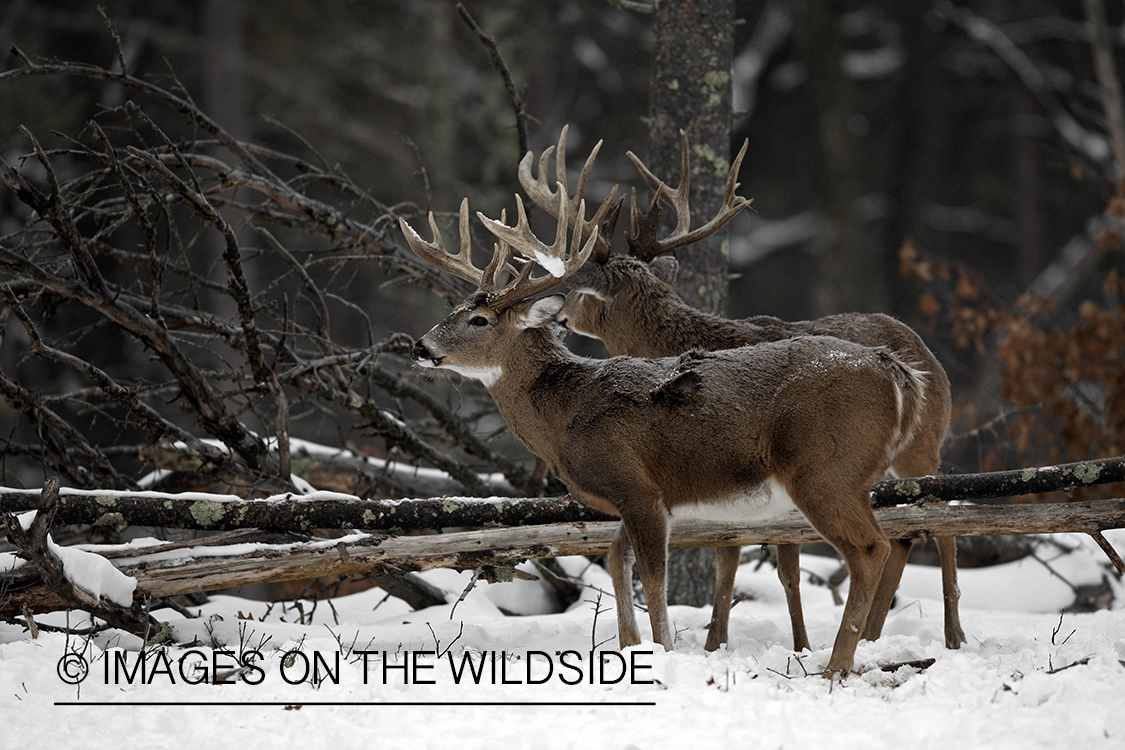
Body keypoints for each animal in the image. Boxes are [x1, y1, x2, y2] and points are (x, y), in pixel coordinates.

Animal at [405, 184, 931, 679]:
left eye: (479, 319)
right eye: (455, 308)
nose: (420, 346)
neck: (566, 413)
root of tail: (894, 369)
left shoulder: (636, 486)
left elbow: (653, 577)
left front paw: (664, 654)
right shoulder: (635, 495)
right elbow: (616, 559)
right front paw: (630, 647)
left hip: (824, 469)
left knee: (870, 549)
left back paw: (834, 666)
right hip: (853, 478)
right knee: (886, 542)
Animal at [517, 125, 967, 652]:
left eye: (582, 292)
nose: (561, 316)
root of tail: (925, 362)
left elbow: (763, 563)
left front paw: (765, 643)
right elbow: (740, 556)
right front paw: (737, 641)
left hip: (919, 445)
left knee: (940, 520)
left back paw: (952, 635)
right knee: (904, 533)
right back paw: (876, 635)